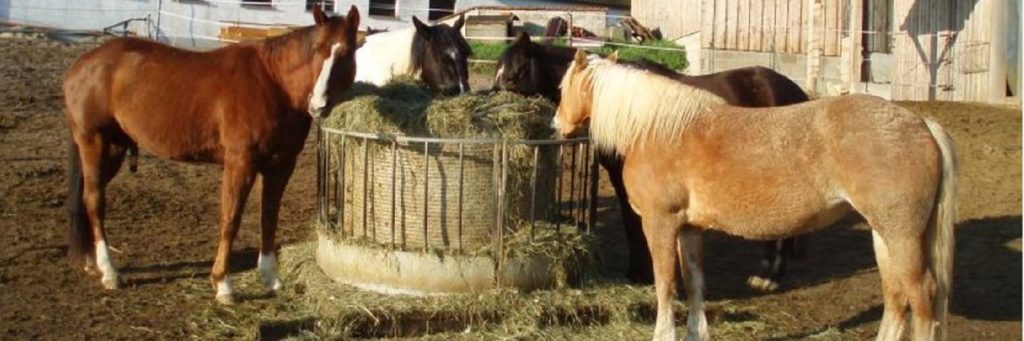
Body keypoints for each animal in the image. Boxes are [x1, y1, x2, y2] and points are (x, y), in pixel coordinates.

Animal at [62, 5, 364, 303]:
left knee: (87, 198)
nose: (318, 104)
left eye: (347, 51)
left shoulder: (280, 167)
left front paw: (271, 279)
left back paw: (92, 262)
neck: (273, 83)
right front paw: (223, 284)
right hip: (94, 142)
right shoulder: (240, 164)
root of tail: (82, 65)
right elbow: (231, 219)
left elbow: (269, 217)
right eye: (317, 49)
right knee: (95, 201)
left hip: (113, 149)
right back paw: (109, 272)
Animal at [491, 31, 811, 288]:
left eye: (515, 73)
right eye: (498, 70)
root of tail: (794, 91)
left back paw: (769, 278)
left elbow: (634, 223)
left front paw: (644, 273)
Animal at [557, 50, 954, 339]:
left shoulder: (661, 224)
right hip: (884, 234)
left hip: (901, 235)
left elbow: (665, 285)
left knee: (921, 296)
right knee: (896, 295)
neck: (657, 128)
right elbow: (695, 283)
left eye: (563, 88)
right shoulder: (690, 229)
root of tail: (922, 125)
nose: (557, 124)